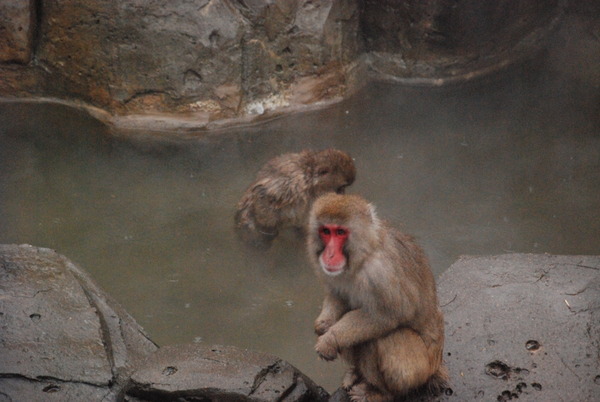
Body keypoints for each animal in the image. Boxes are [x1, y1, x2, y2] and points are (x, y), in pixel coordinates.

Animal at [308, 193, 448, 400]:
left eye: (340, 232)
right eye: (326, 231)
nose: (330, 254)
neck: (363, 254)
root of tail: (436, 365)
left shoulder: (380, 273)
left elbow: (384, 317)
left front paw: (329, 339)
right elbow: (338, 296)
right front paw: (323, 325)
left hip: (420, 369)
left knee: (382, 338)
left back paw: (381, 393)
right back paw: (355, 372)